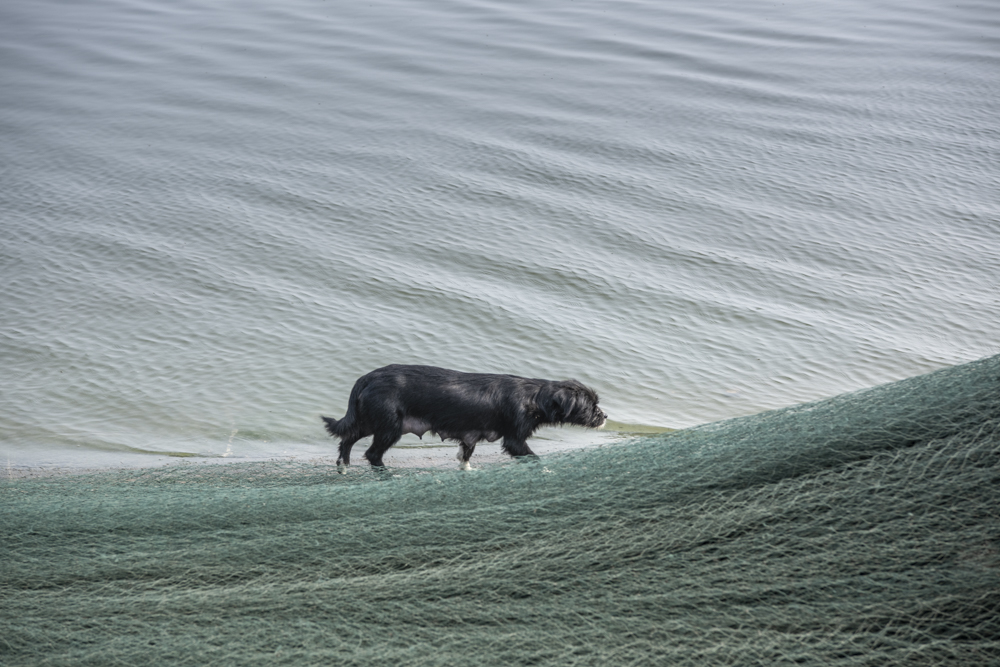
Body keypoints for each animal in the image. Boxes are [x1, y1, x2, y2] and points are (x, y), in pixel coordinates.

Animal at [320, 366, 604, 470]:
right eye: (591, 406)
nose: (605, 416)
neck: (535, 396)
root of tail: (367, 377)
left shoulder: (470, 437)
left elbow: (465, 457)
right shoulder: (515, 438)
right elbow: (532, 456)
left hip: (370, 420)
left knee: (347, 438)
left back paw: (344, 465)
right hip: (389, 425)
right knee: (372, 453)